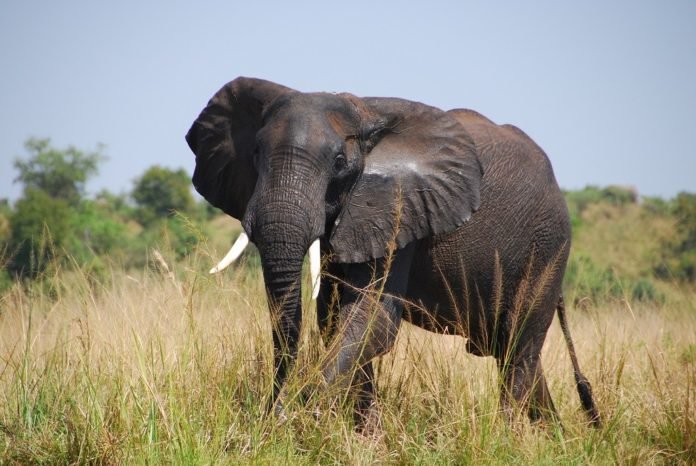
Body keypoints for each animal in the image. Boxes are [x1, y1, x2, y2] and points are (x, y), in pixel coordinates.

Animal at [186, 77, 601, 428]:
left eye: (339, 162)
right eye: (255, 152)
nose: (274, 409)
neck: (363, 114)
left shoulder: (396, 206)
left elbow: (372, 319)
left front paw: (302, 419)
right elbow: (335, 320)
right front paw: (361, 436)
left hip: (548, 245)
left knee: (518, 349)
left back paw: (510, 439)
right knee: (516, 355)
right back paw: (555, 437)